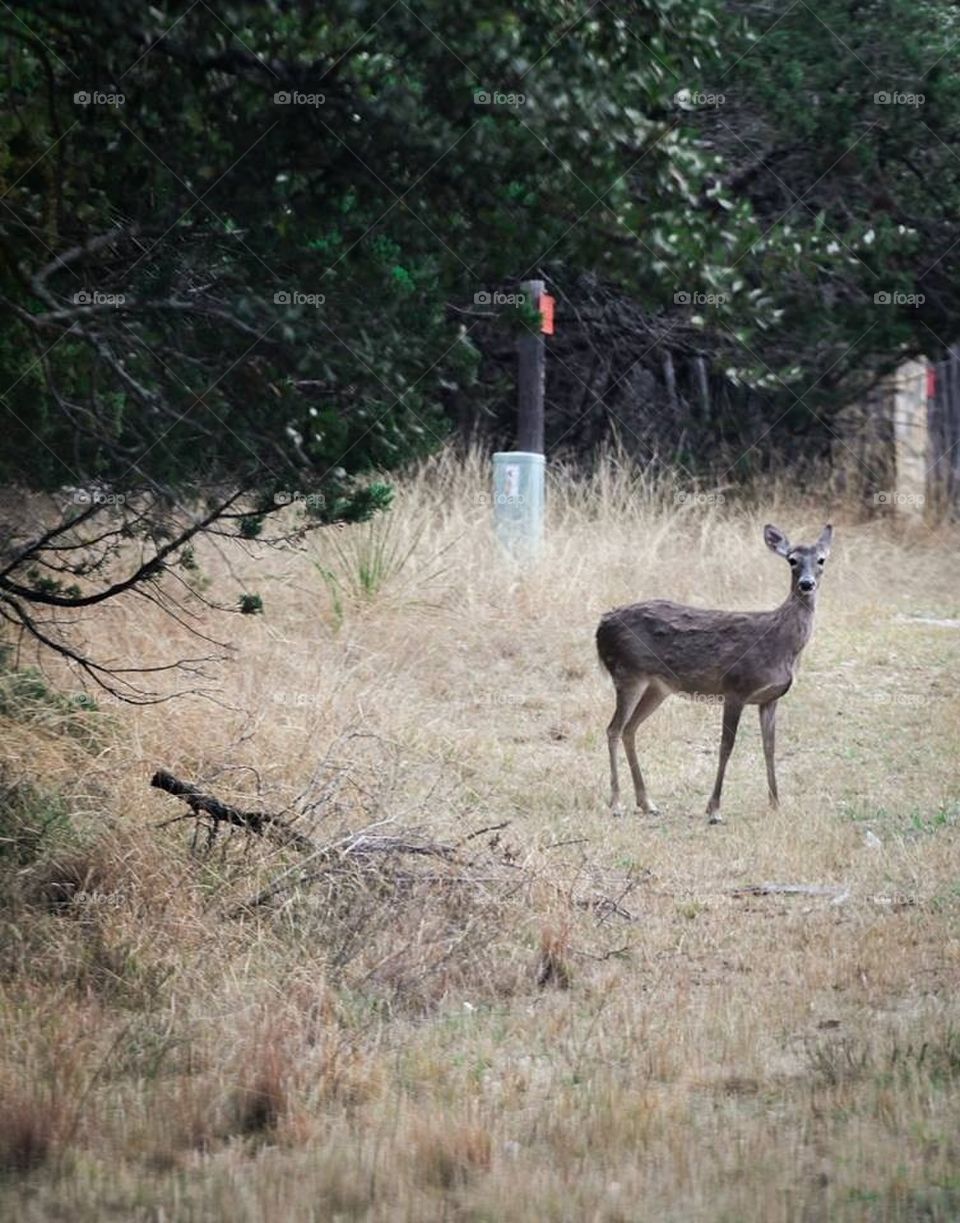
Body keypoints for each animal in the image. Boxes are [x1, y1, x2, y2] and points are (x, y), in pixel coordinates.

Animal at [596, 523, 833, 823]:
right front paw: (714, 809)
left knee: (629, 729)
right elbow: (726, 746)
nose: (806, 583)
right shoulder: (735, 688)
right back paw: (616, 803)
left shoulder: (770, 698)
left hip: (657, 686)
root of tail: (601, 626)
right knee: (613, 728)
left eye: (821, 560)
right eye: (792, 560)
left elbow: (769, 747)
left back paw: (647, 802)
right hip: (628, 672)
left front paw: (776, 804)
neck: (781, 644)